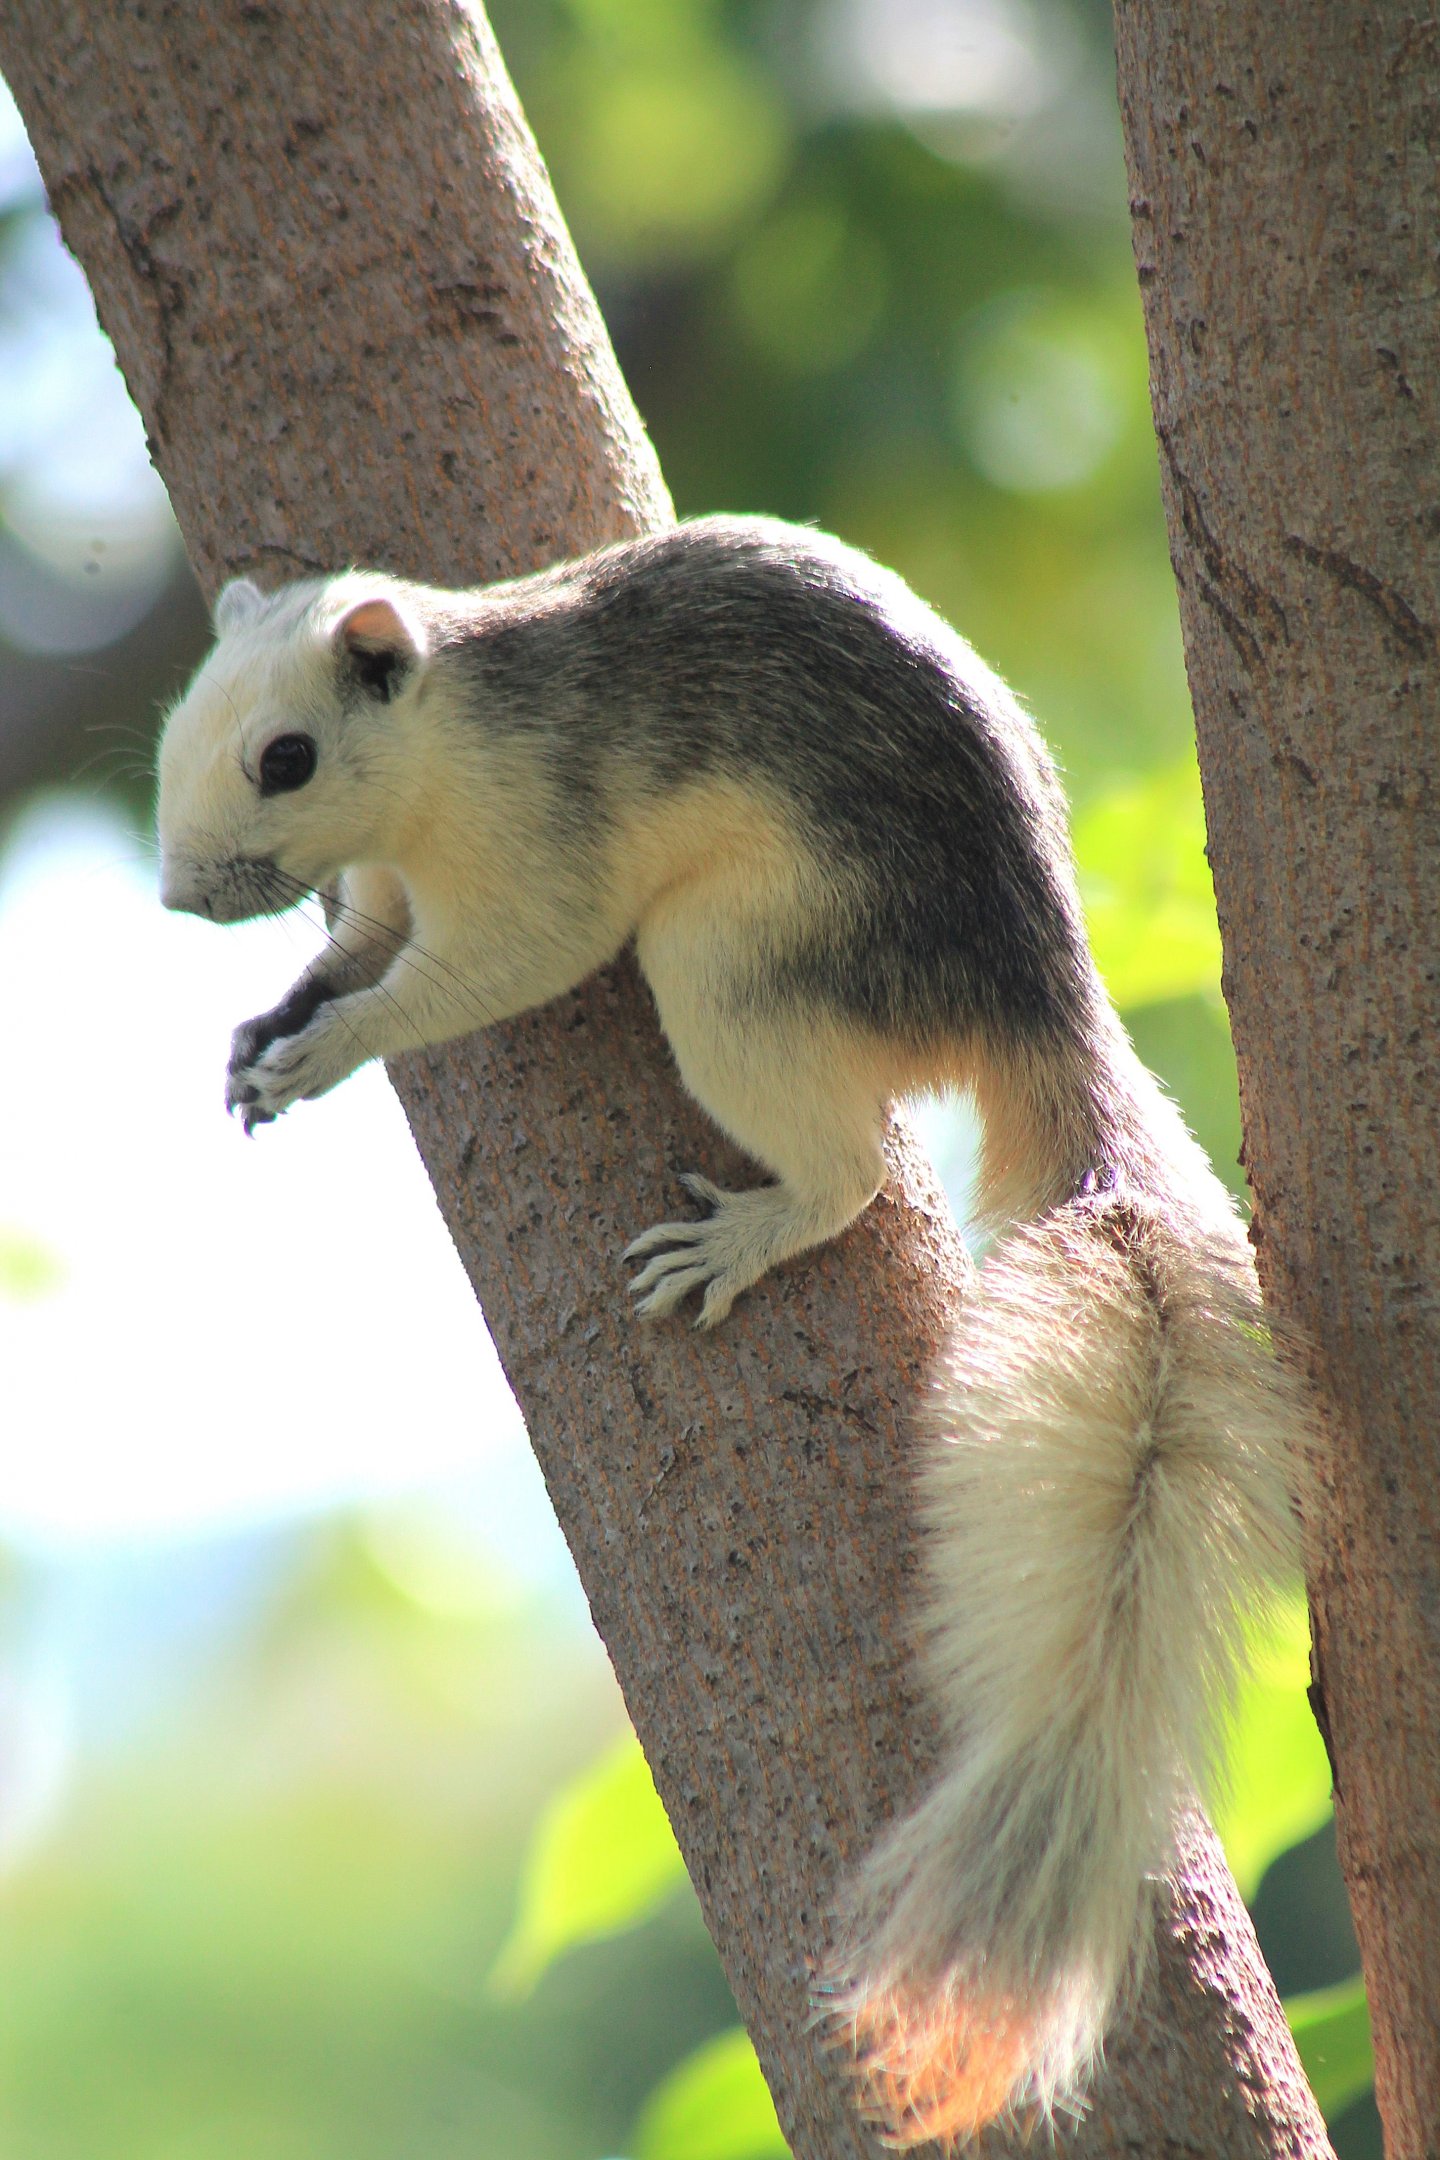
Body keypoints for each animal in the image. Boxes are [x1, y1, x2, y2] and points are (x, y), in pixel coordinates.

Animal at [156, 516, 1306, 2146]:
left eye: (286, 758)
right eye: (180, 726)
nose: (183, 897)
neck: (442, 752)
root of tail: (1038, 1006)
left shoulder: (537, 873)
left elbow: (472, 976)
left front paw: (335, 1047)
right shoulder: (381, 883)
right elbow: (359, 941)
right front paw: (272, 1026)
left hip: (727, 963)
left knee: (843, 1171)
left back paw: (741, 1240)